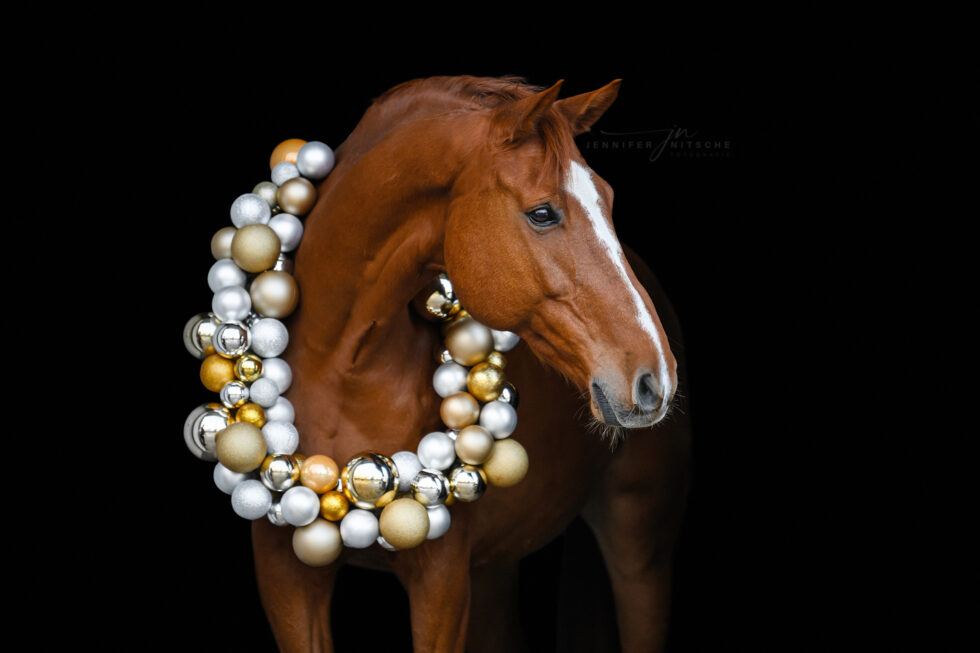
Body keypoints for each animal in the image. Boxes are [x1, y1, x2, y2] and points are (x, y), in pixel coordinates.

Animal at [252, 75, 692, 652]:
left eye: (610, 200)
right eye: (542, 213)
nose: (654, 377)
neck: (343, 367)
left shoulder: (440, 584)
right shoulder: (285, 578)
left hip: (640, 552)